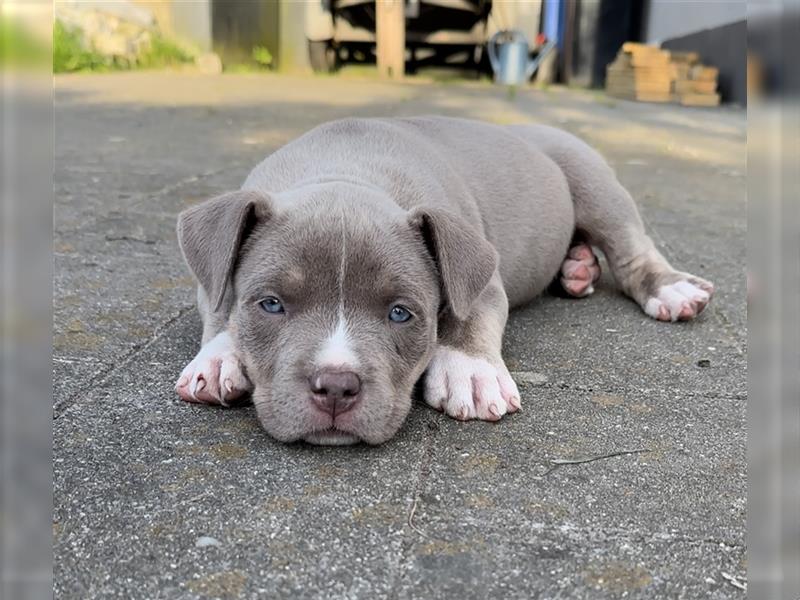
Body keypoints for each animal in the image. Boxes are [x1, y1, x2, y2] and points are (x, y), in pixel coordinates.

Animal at [175, 117, 712, 446]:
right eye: (270, 304)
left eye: (401, 313)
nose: (336, 387)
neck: (348, 172)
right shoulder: (211, 274)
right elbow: (219, 304)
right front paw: (218, 359)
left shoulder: (482, 273)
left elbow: (468, 314)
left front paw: (469, 371)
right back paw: (578, 268)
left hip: (592, 180)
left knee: (631, 249)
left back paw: (669, 289)